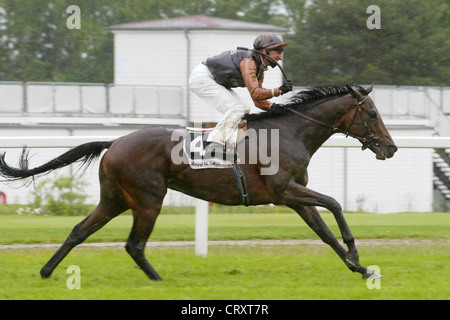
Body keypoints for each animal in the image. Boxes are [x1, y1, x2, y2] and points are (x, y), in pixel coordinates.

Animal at [0, 84, 396, 280]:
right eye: (372, 113)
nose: (391, 147)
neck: (290, 131)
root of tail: (115, 142)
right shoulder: (284, 191)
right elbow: (334, 203)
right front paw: (356, 254)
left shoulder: (293, 197)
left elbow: (324, 232)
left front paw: (360, 268)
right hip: (148, 199)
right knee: (134, 244)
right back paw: (158, 281)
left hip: (114, 199)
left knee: (80, 230)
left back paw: (47, 271)